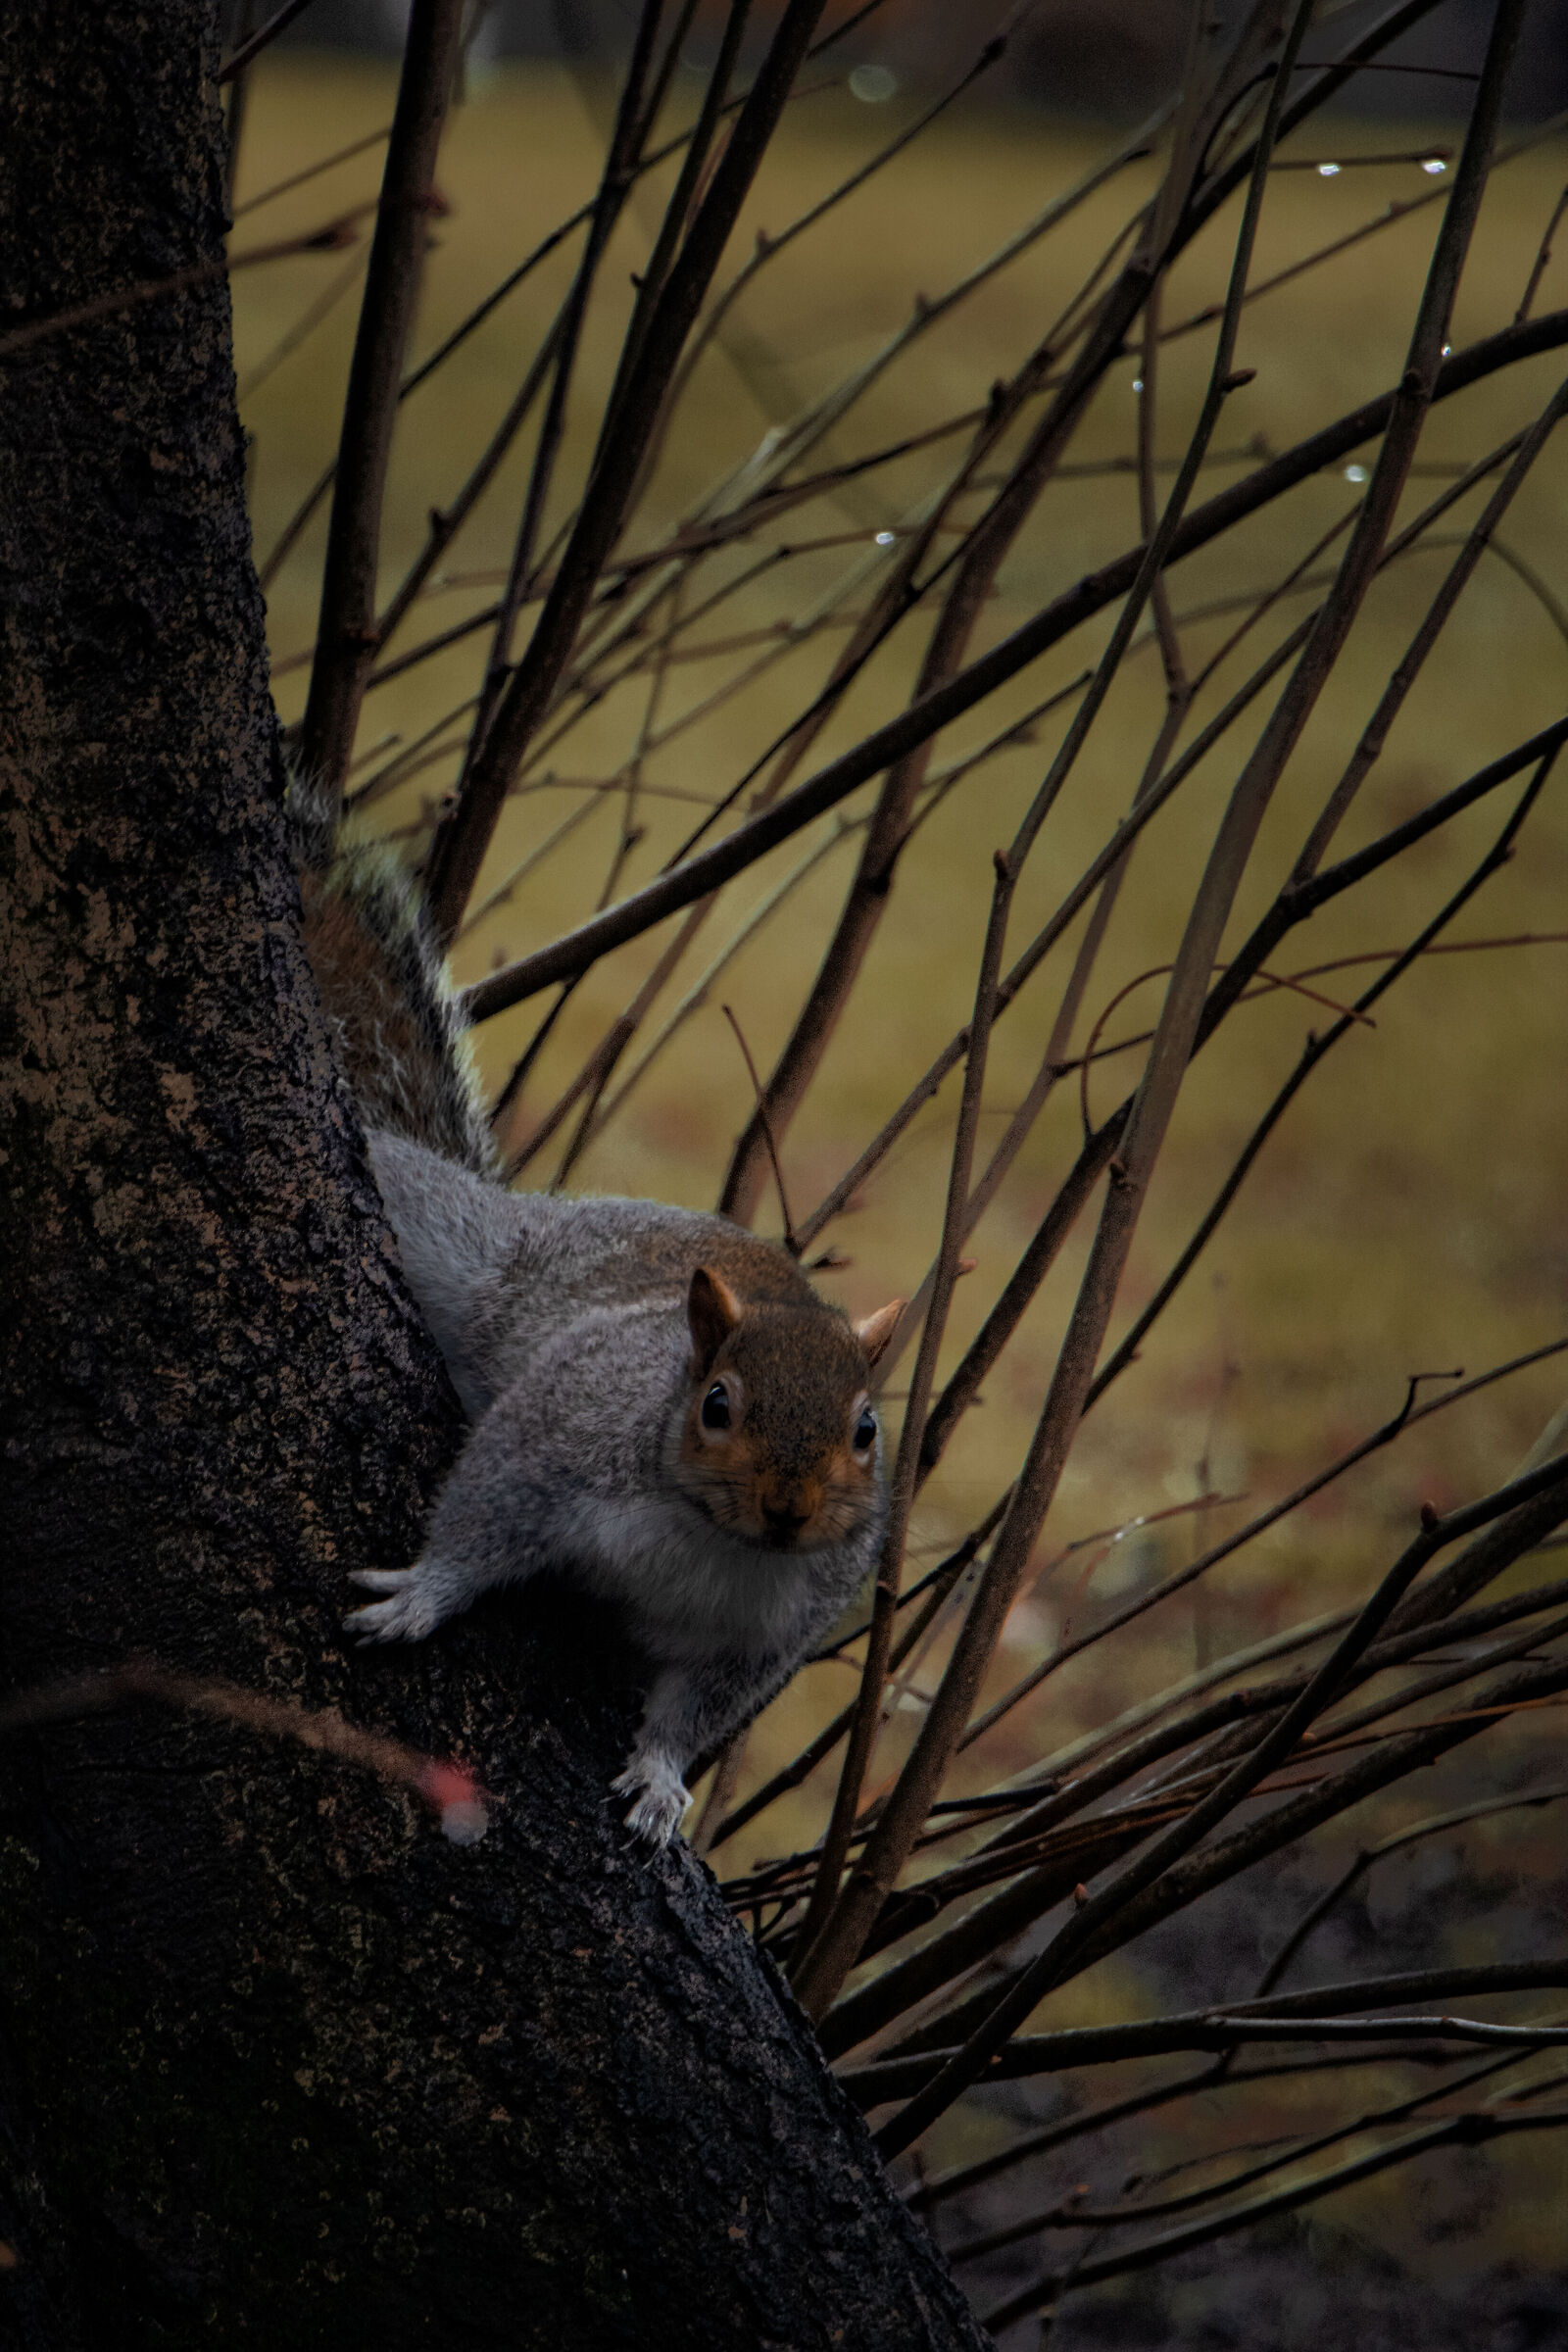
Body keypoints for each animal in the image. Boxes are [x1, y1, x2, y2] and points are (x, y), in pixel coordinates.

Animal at [291, 783, 904, 1845]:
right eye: (715, 1403)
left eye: (865, 1432)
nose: (789, 1509)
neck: (711, 1534)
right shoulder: (562, 1428)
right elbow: (481, 1513)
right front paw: (421, 1596)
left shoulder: (764, 1638)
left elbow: (695, 1713)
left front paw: (660, 1782)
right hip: (466, 1248)